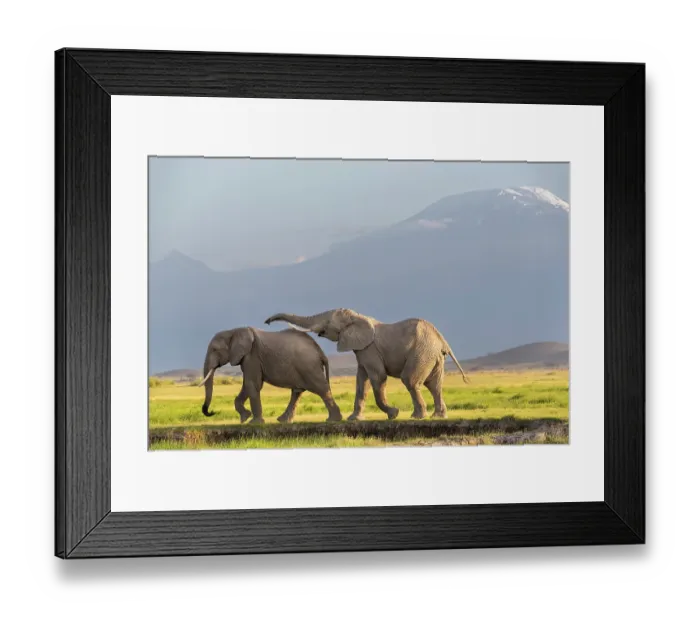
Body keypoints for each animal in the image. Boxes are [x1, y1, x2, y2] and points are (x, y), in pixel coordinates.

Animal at [199, 327, 342, 424]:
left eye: (214, 350)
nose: (212, 412)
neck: (234, 331)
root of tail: (320, 351)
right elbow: (248, 384)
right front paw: (244, 418)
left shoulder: (252, 355)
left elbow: (252, 384)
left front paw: (254, 423)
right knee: (297, 392)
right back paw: (283, 420)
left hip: (309, 366)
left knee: (321, 388)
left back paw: (333, 420)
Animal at [264, 309, 468, 421]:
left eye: (328, 322)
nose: (266, 322)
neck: (357, 317)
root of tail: (441, 340)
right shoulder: (362, 351)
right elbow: (361, 381)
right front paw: (354, 419)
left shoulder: (369, 349)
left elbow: (377, 377)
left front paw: (393, 413)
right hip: (432, 356)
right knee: (434, 385)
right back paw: (437, 416)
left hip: (422, 352)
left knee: (410, 380)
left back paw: (417, 416)